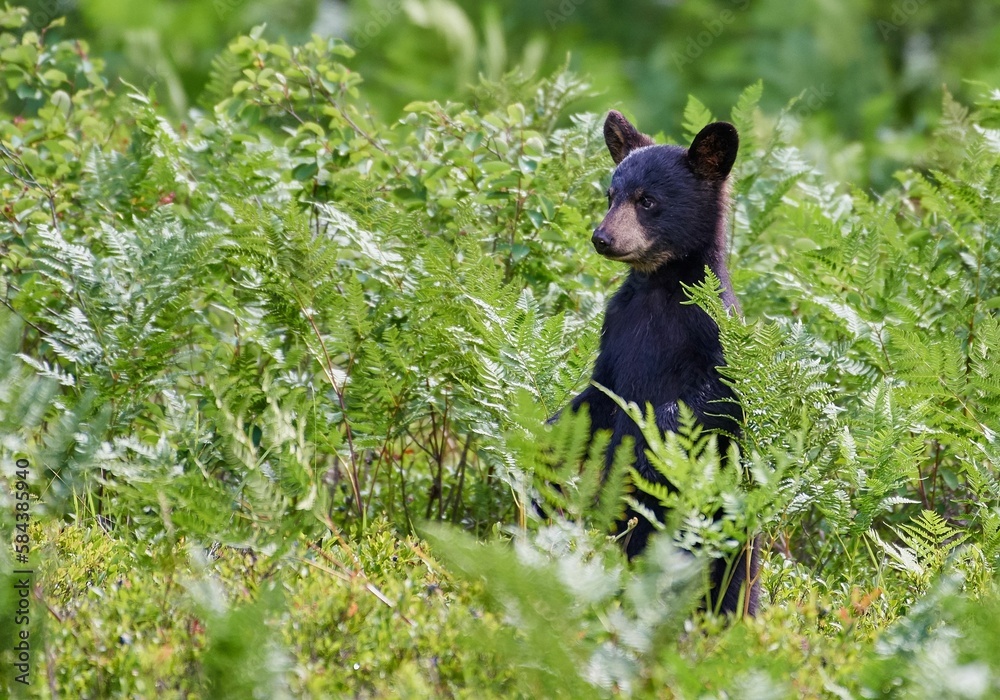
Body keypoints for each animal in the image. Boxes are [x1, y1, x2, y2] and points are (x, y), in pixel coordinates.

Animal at [568, 110, 760, 616]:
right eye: (610, 195)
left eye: (648, 201)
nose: (602, 237)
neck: (658, 291)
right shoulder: (616, 333)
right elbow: (597, 393)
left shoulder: (711, 337)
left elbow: (708, 402)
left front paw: (643, 446)